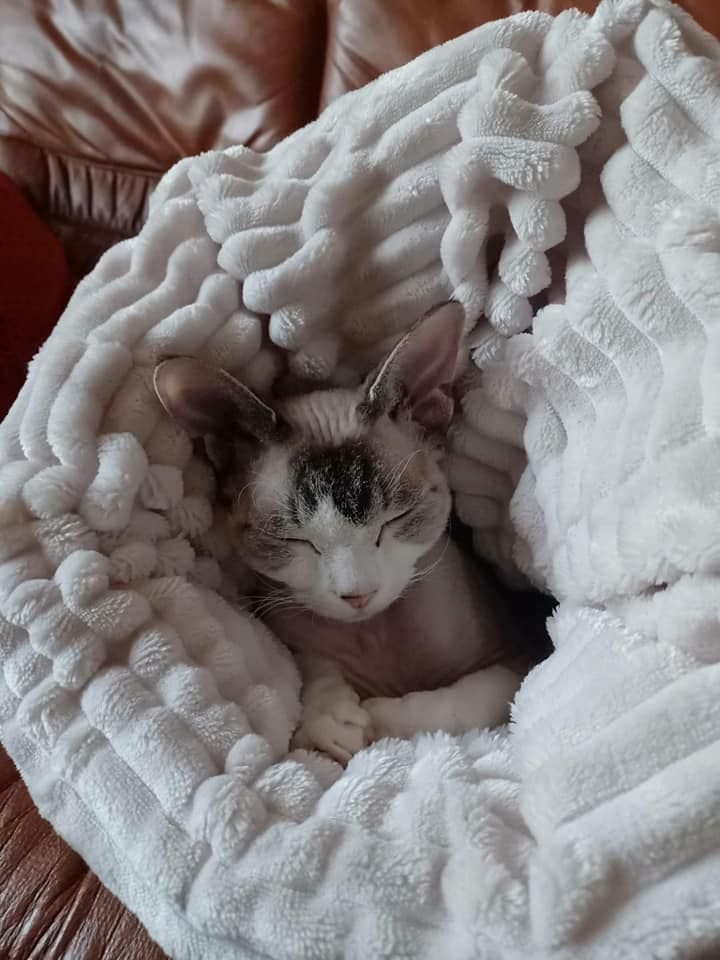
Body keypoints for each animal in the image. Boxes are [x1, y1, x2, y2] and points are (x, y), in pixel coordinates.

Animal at [153, 301, 522, 764]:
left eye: (395, 519)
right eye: (292, 539)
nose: (358, 596)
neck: (377, 632)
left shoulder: (520, 655)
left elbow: (468, 700)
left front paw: (383, 717)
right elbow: (310, 664)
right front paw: (327, 714)